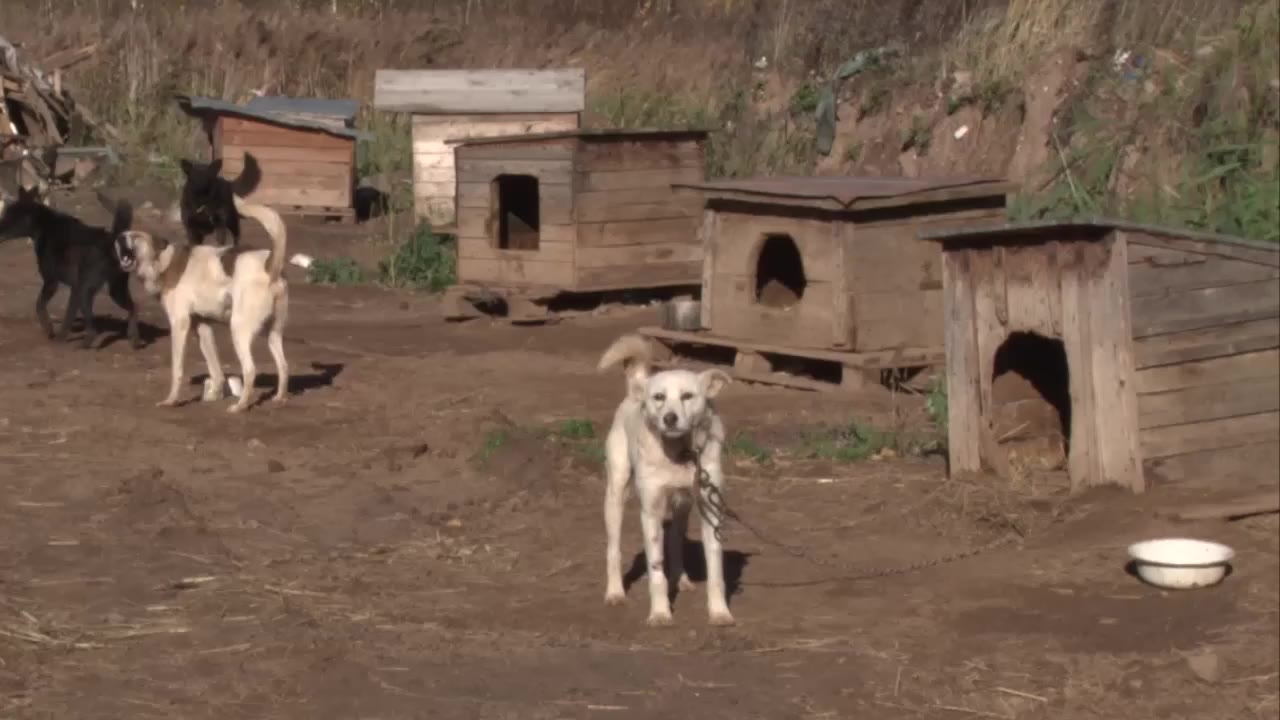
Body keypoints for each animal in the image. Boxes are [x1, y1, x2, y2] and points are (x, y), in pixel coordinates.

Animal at [0, 184, 141, 349]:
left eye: (10, 216)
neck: (43, 224)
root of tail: (112, 241)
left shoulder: (51, 281)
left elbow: (40, 305)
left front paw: (49, 329)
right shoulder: (73, 288)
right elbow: (68, 315)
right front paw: (60, 334)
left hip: (86, 290)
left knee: (93, 331)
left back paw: (82, 345)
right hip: (115, 290)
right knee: (134, 308)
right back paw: (134, 338)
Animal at [114, 194, 288, 413]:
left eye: (136, 237)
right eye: (123, 235)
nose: (120, 239)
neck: (163, 262)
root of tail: (269, 265)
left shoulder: (180, 324)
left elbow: (177, 369)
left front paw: (171, 400)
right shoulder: (202, 326)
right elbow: (215, 368)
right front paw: (214, 395)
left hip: (238, 329)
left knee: (250, 370)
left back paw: (240, 406)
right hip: (273, 333)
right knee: (283, 366)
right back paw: (279, 398)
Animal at [598, 334, 735, 627]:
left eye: (687, 396)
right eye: (659, 397)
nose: (669, 418)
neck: (680, 453)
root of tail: (635, 389)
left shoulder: (710, 510)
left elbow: (715, 573)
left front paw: (720, 612)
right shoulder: (650, 513)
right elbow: (656, 570)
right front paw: (660, 613)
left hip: (682, 506)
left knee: (674, 541)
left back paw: (681, 579)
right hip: (615, 495)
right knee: (614, 550)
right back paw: (615, 592)